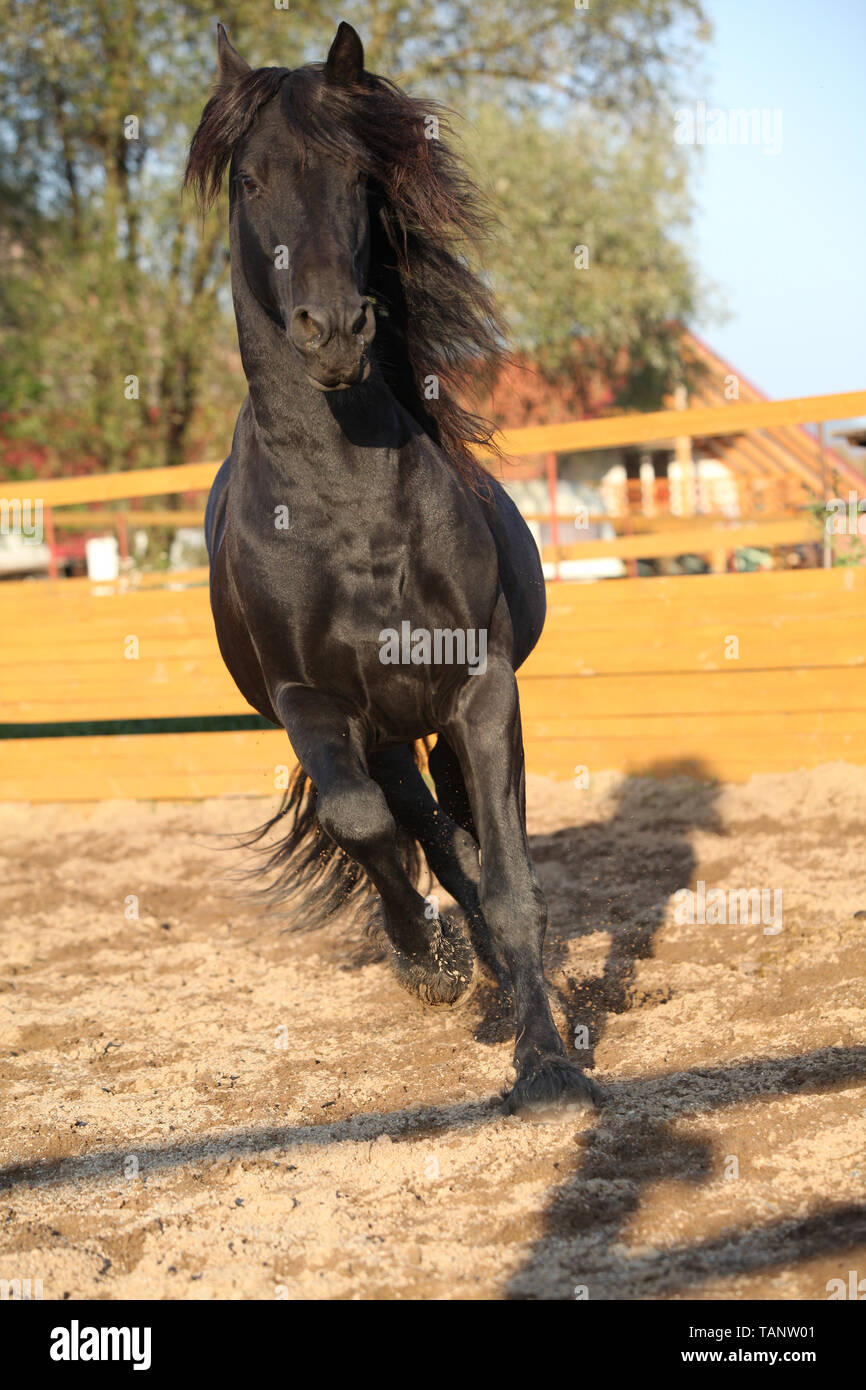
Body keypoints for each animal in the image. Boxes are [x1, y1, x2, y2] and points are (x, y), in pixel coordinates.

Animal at [186, 20, 602, 1114]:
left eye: (356, 174)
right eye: (250, 180)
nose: (331, 330)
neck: (344, 503)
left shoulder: (480, 687)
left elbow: (508, 882)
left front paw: (545, 1063)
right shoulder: (310, 701)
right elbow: (365, 823)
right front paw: (428, 963)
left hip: (436, 721)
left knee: (464, 833)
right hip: (379, 730)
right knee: (410, 821)